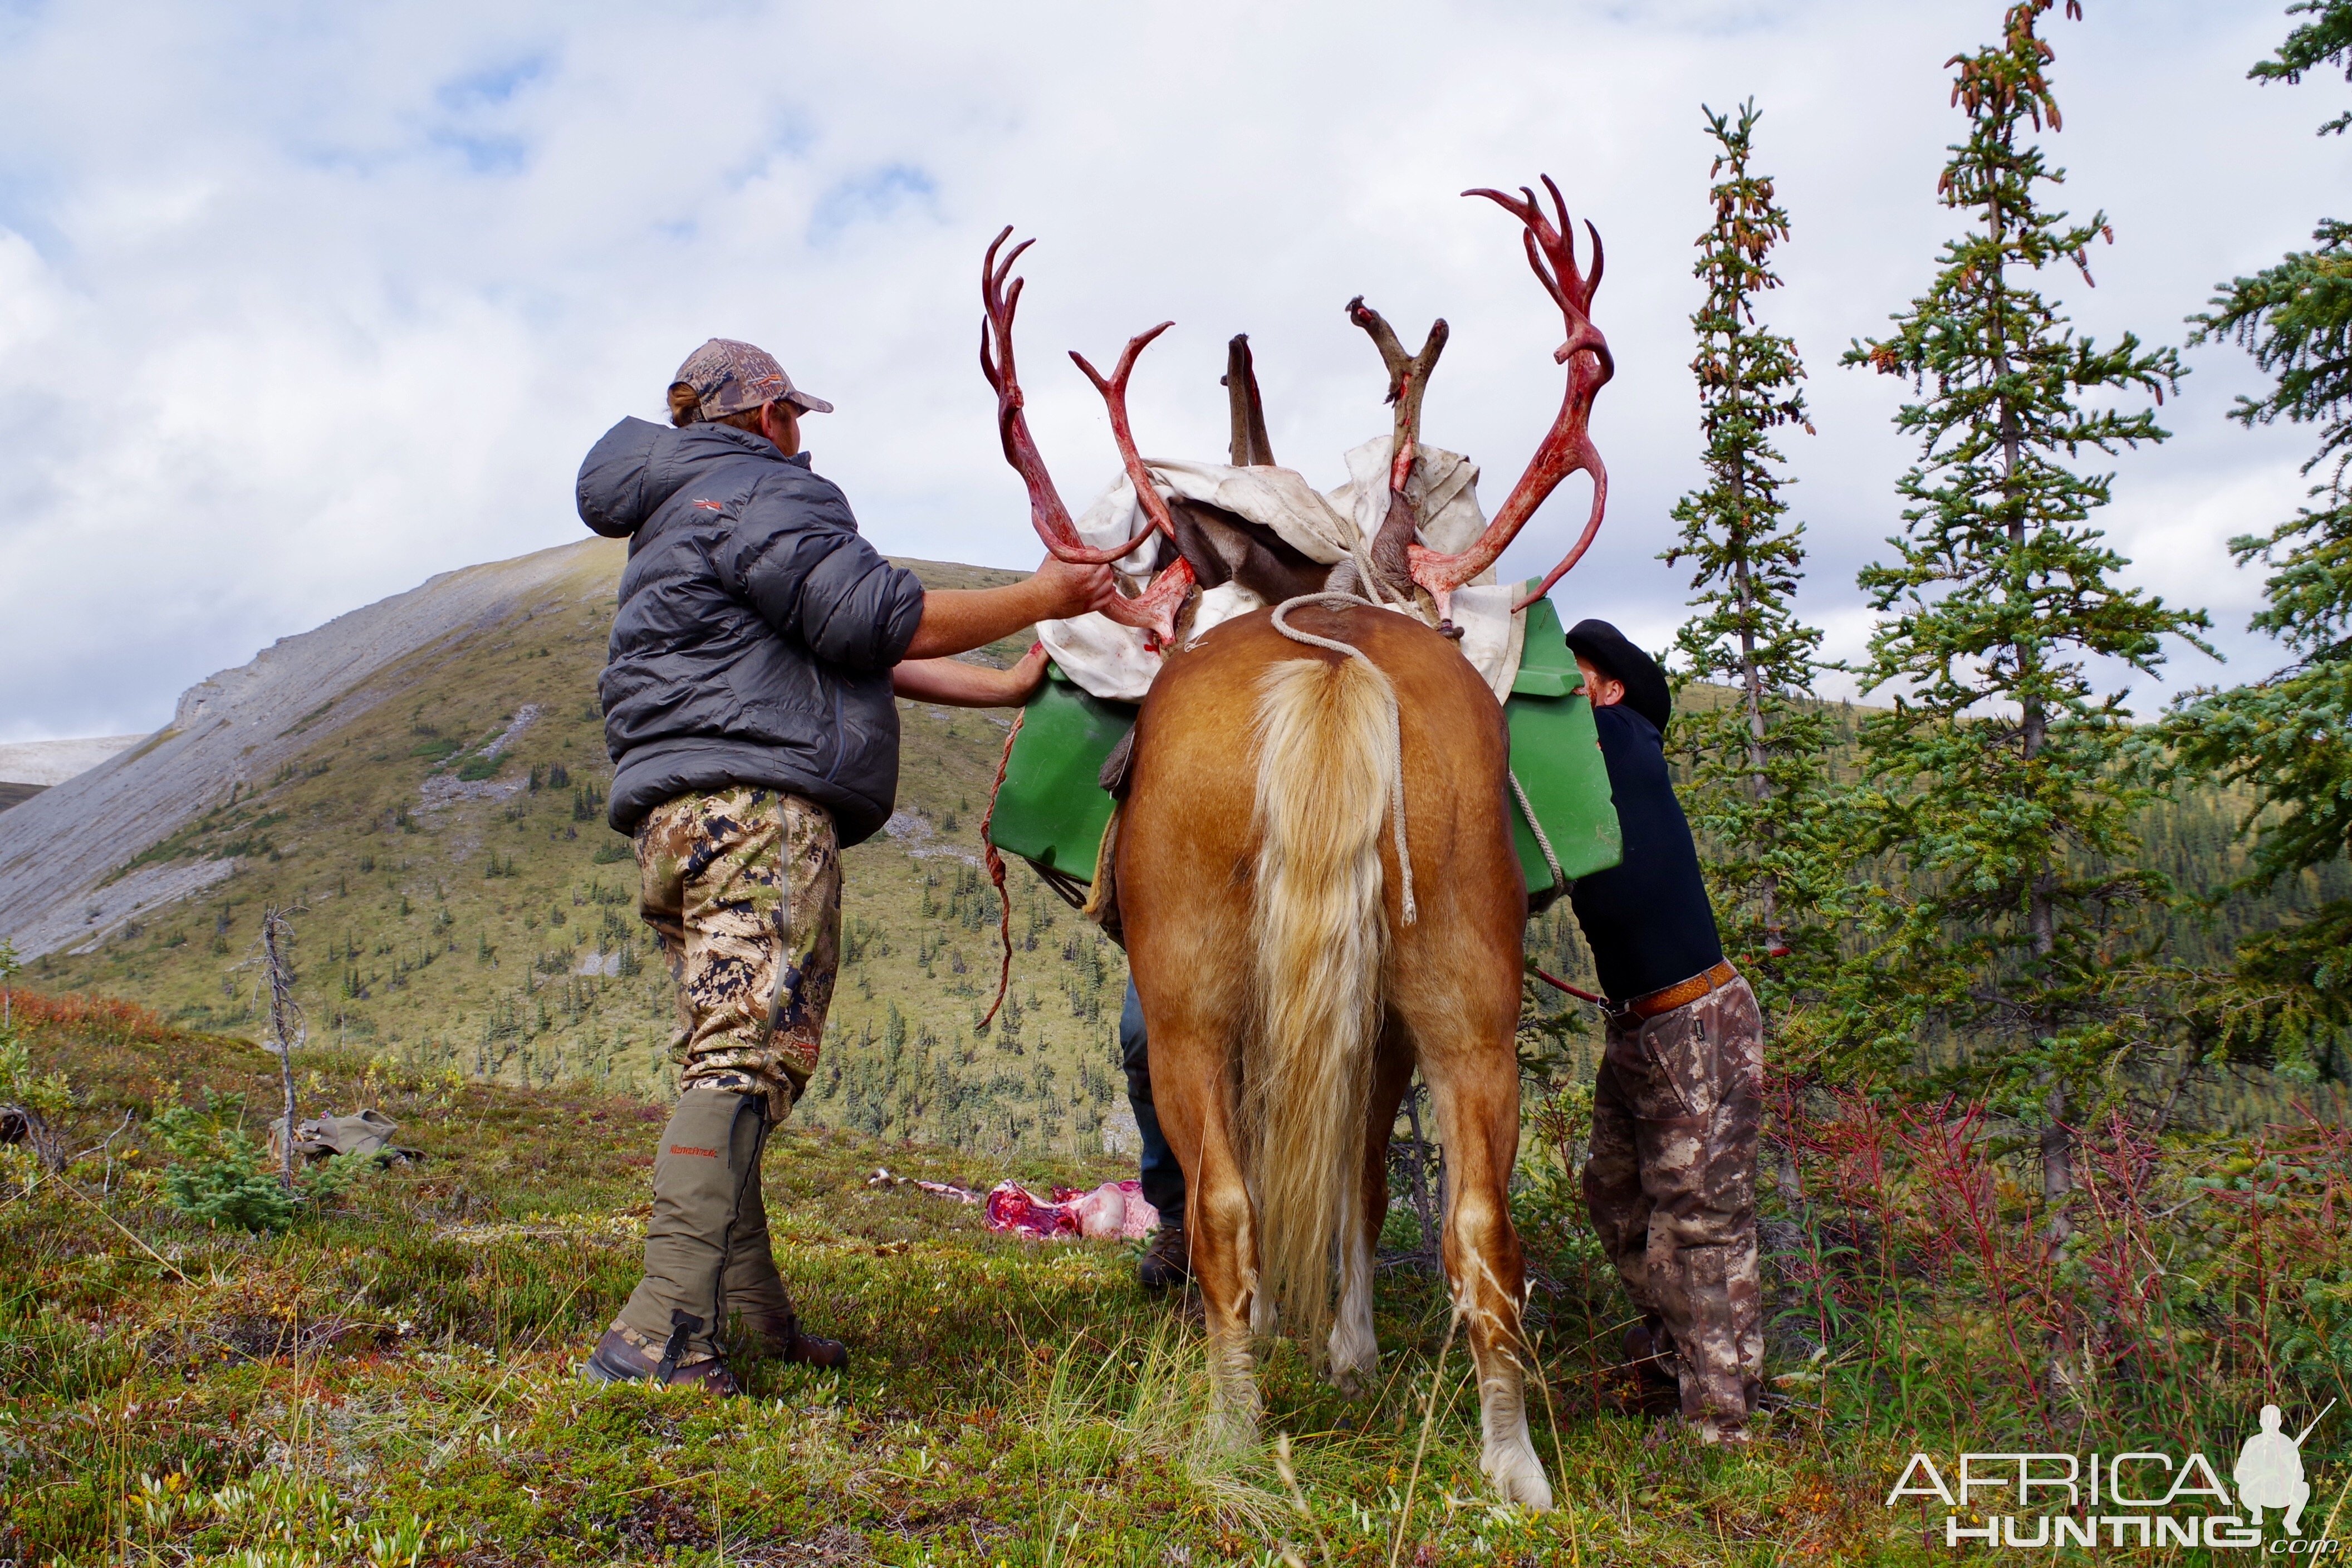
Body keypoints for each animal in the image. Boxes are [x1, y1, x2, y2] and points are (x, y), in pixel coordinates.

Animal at [978, 175, 1618, 1505]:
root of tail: (1334, 660)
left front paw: (1303, 1335)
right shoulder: (1373, 1013)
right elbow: (1356, 1181)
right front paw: (1343, 1345)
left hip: (1190, 995)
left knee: (1225, 1200)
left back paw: (1231, 1426)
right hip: (1465, 986)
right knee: (1482, 1219)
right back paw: (1511, 1462)